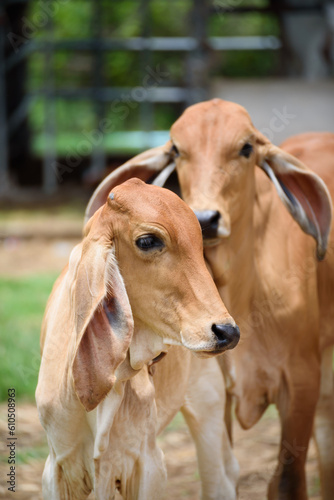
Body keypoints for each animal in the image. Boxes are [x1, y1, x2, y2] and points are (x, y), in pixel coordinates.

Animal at [87, 100, 334, 500]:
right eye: (176, 150)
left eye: (246, 148)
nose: (205, 218)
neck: (245, 293)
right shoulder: (219, 389)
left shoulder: (302, 380)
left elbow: (286, 481)